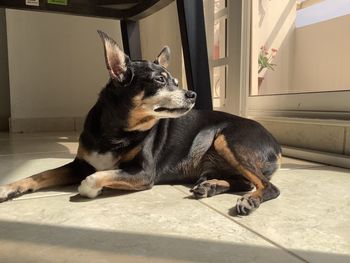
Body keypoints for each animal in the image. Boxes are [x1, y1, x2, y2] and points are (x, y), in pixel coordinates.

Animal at [0, 31, 282, 217]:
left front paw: (90, 189)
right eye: (160, 80)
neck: (116, 131)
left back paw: (249, 200)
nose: (192, 94)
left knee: (268, 186)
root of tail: (276, 144)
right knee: (243, 181)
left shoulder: (143, 173)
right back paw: (210, 186)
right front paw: (8, 188)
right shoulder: (79, 163)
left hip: (228, 140)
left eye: (176, 82)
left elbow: (94, 178)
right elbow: (41, 174)